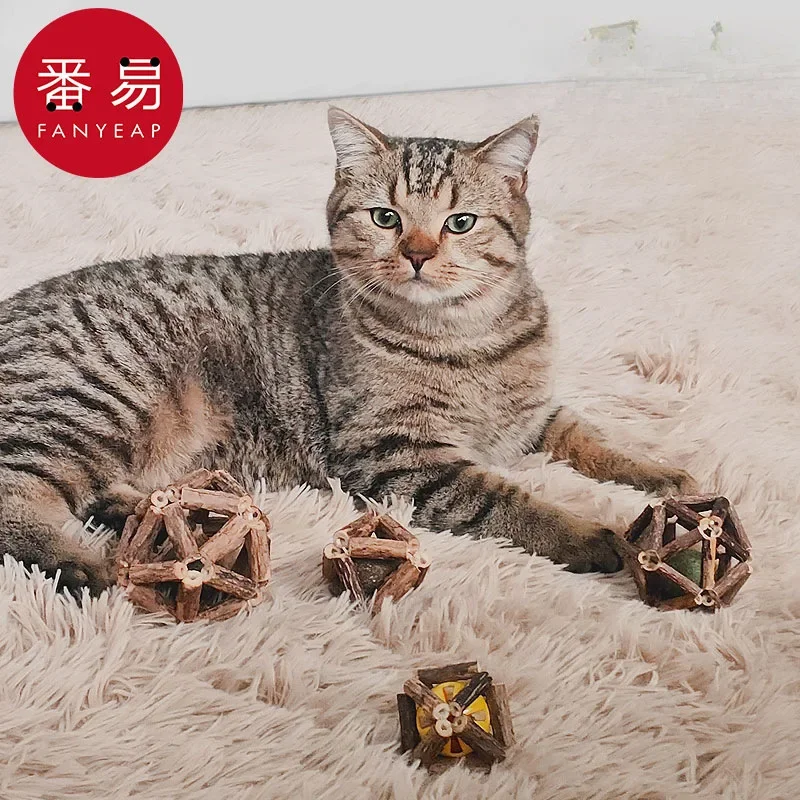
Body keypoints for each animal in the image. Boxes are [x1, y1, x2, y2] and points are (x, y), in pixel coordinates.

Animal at [0, 107, 697, 594]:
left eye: (460, 222)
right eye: (385, 217)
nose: (417, 253)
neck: (469, 333)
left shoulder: (535, 417)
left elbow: (593, 438)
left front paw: (661, 475)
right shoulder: (398, 455)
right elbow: (506, 498)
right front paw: (587, 534)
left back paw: (148, 513)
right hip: (96, 402)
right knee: (14, 497)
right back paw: (82, 561)